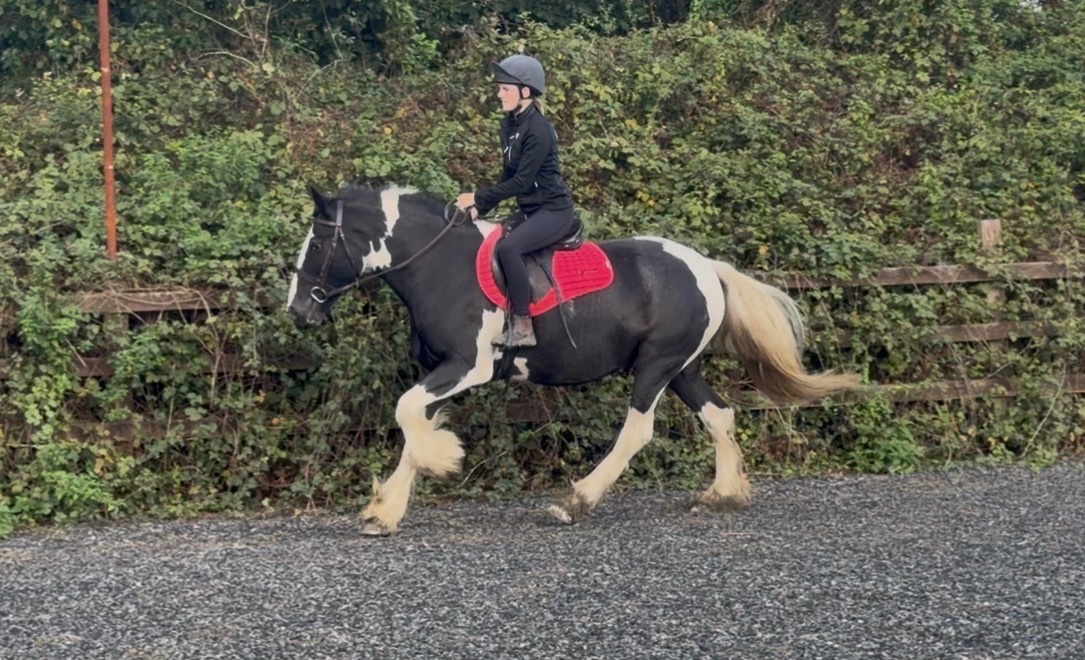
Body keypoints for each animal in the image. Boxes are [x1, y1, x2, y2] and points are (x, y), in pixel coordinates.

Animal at [287, 184, 860, 535]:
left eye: (317, 242)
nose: (297, 313)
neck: (440, 265)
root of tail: (706, 267)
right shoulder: (441, 370)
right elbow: (413, 423)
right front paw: (384, 512)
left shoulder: (467, 366)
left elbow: (408, 415)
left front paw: (439, 463)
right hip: (682, 368)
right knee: (720, 416)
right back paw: (721, 494)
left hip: (657, 366)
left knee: (638, 431)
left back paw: (575, 501)